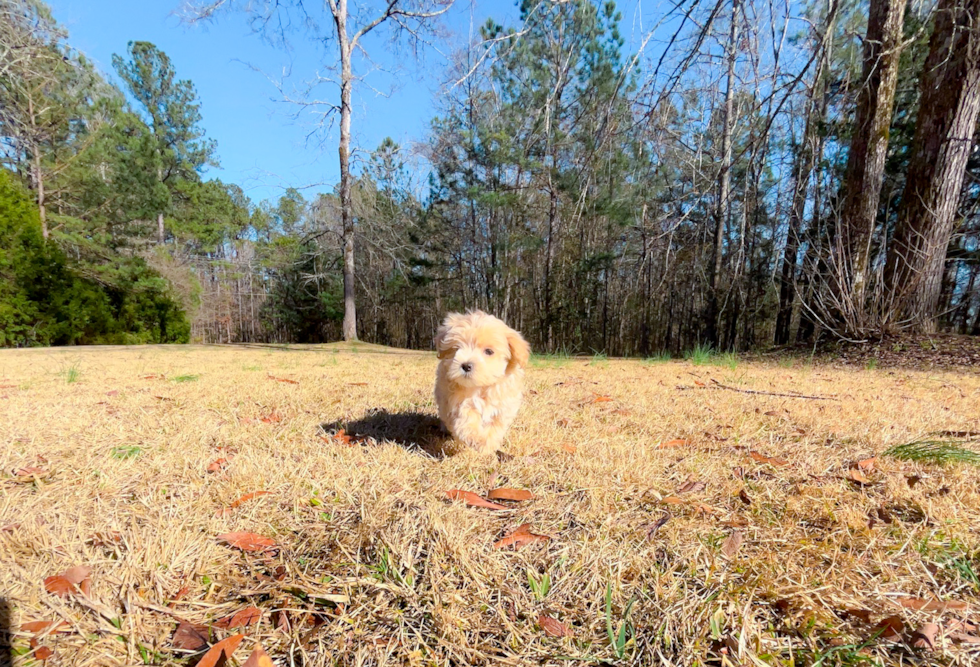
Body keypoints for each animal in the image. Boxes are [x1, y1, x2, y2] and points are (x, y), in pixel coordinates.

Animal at [434, 312, 532, 456]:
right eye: (456, 348)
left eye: (489, 351)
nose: (466, 365)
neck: (481, 387)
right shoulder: (457, 401)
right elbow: (466, 418)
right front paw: (475, 438)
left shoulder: (502, 407)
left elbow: (495, 427)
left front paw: (486, 445)